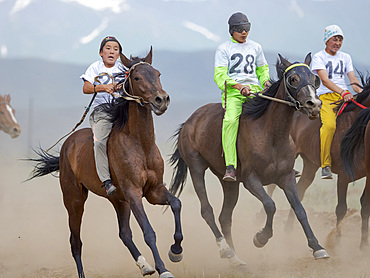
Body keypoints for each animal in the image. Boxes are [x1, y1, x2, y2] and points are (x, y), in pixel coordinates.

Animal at [26, 48, 183, 278]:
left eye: (158, 73)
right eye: (137, 77)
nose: (161, 99)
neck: (140, 144)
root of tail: (68, 144)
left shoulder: (153, 191)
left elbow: (176, 204)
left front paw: (176, 251)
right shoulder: (134, 193)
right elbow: (148, 231)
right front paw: (163, 269)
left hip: (118, 200)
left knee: (124, 234)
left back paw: (144, 265)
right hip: (74, 200)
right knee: (76, 242)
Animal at [169, 53, 328, 266]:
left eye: (314, 78)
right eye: (293, 79)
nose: (314, 105)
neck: (271, 136)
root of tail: (189, 122)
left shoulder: (286, 177)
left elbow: (299, 209)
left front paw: (317, 247)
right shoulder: (251, 180)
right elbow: (270, 205)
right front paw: (260, 238)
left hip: (229, 182)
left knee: (225, 217)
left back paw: (237, 259)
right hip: (196, 168)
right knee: (207, 210)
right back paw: (225, 249)